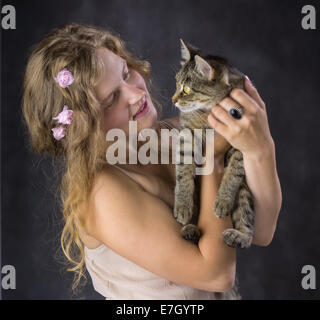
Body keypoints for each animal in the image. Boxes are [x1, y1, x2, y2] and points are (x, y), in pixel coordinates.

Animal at [172, 40, 255, 249]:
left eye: (186, 90)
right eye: (176, 84)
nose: (173, 100)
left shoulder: (244, 142)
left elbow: (234, 170)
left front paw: (223, 200)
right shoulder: (187, 132)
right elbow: (184, 169)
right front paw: (183, 204)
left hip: (245, 192)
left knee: (247, 224)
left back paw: (239, 236)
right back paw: (189, 229)